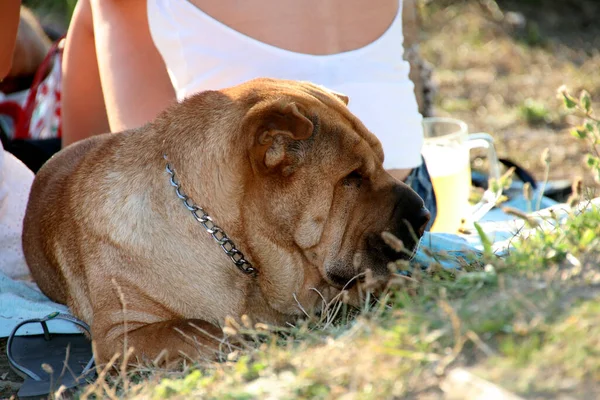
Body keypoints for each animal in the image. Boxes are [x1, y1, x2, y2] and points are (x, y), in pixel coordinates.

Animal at [22, 78, 426, 366]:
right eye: (352, 177)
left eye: (382, 161)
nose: (423, 217)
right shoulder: (120, 335)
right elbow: (195, 328)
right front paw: (248, 342)